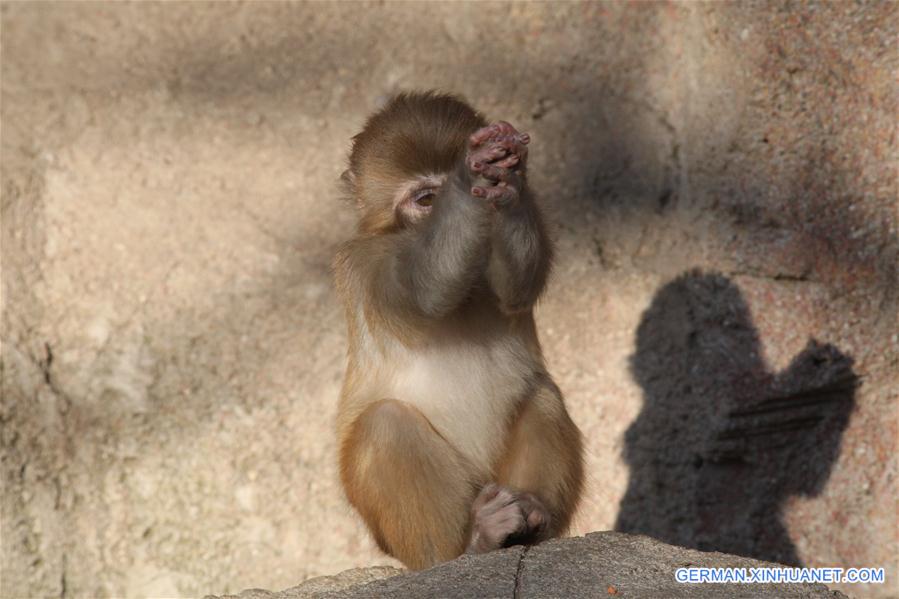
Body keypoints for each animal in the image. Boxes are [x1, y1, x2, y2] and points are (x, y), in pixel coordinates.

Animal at [334, 91, 588, 568]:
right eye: (426, 198)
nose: (439, 209)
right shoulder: (368, 263)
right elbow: (425, 291)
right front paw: (472, 170)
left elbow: (517, 288)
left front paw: (510, 177)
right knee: (386, 424)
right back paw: (473, 544)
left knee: (542, 395)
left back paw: (532, 519)